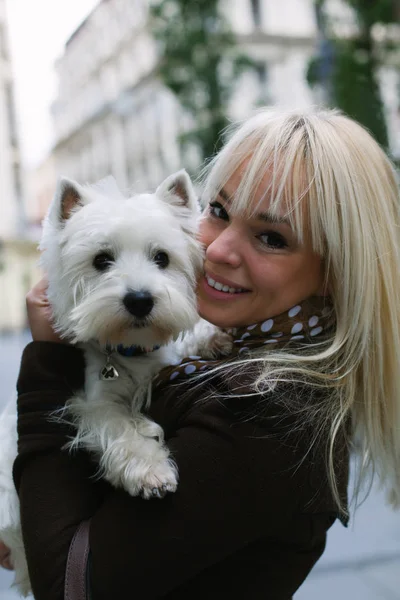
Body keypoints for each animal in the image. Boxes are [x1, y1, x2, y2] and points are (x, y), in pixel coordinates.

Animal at [0, 170, 231, 596]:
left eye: (162, 258)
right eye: (101, 260)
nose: (139, 299)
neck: (131, 350)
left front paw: (213, 336)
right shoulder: (91, 404)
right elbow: (121, 427)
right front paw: (151, 473)